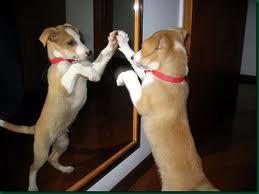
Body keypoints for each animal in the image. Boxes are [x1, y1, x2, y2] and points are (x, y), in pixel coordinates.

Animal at [0, 23, 119, 191]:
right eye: (70, 42)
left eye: (81, 39)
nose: (89, 52)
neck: (67, 61)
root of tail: (35, 127)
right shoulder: (64, 87)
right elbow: (76, 68)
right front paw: (85, 69)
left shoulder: (94, 67)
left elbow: (100, 58)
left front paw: (111, 44)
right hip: (41, 151)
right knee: (33, 167)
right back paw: (32, 186)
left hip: (63, 143)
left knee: (53, 159)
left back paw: (64, 169)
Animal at [116, 29, 219, 191]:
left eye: (143, 48)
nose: (133, 57)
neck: (171, 78)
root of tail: (201, 182)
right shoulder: (147, 76)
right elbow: (137, 68)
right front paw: (123, 43)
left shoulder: (142, 102)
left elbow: (131, 74)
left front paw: (120, 78)